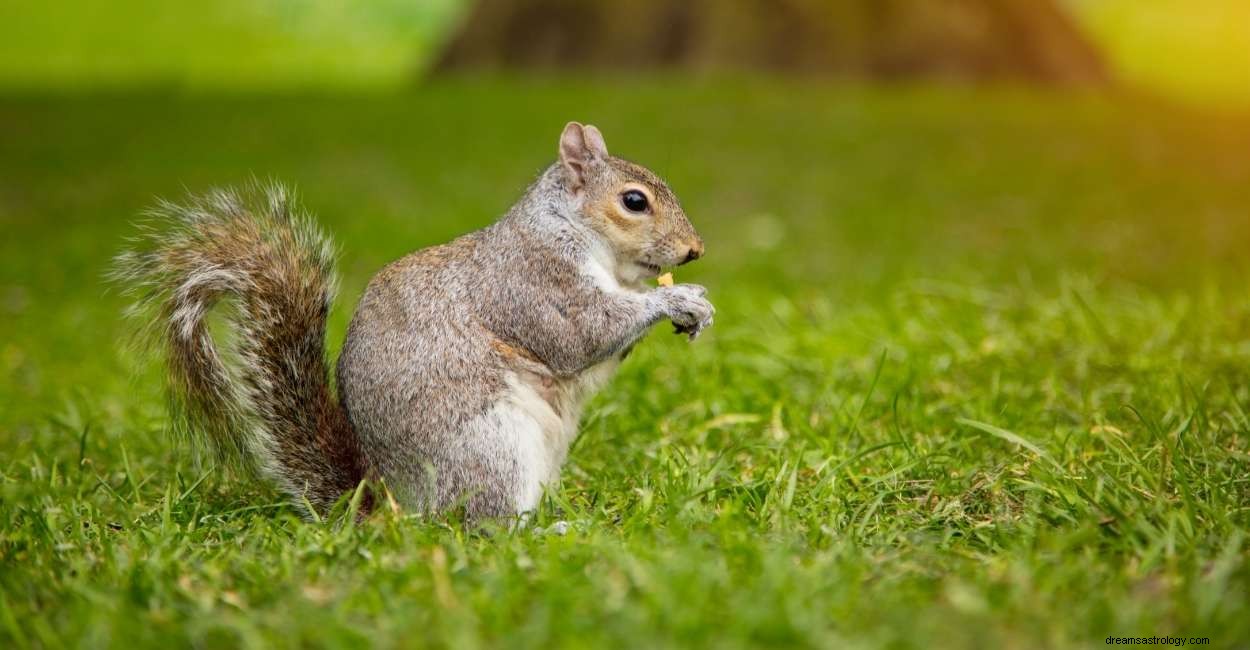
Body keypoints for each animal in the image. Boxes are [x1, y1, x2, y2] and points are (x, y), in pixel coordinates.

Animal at [112, 120, 720, 517]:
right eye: (634, 201)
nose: (695, 250)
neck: (575, 231)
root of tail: (395, 505)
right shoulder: (533, 282)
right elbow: (581, 332)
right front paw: (678, 300)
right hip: (490, 448)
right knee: (483, 525)